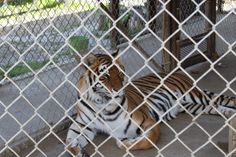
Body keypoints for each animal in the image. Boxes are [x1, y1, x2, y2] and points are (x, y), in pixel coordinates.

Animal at [66, 51, 236, 156]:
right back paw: (229, 114)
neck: (102, 104)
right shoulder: (82, 125)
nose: (118, 91)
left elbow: (147, 141)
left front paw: (125, 143)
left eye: (120, 74)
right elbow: (68, 144)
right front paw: (78, 151)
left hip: (194, 95)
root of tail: (173, 72)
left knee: (226, 100)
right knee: (215, 107)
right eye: (105, 76)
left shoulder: (147, 121)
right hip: (192, 106)